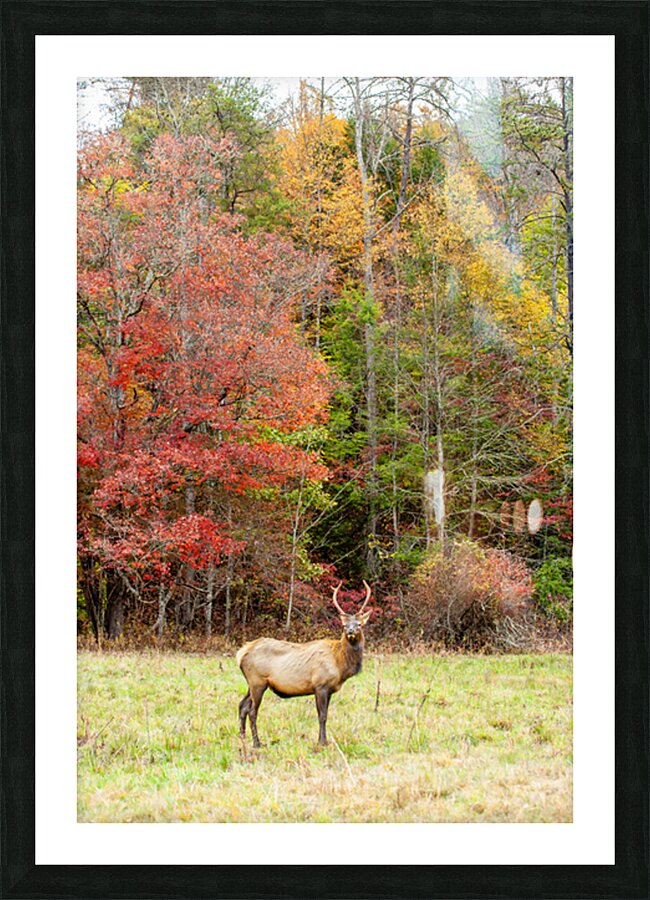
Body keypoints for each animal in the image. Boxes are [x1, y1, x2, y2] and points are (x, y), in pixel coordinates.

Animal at [236, 581, 373, 748]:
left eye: (359, 624)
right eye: (344, 625)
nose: (351, 631)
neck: (340, 664)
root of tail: (241, 653)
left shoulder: (329, 689)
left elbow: (325, 714)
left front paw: (322, 740)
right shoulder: (320, 685)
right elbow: (322, 716)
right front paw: (322, 742)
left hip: (251, 682)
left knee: (242, 705)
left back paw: (242, 737)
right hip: (257, 681)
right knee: (252, 711)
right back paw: (256, 742)